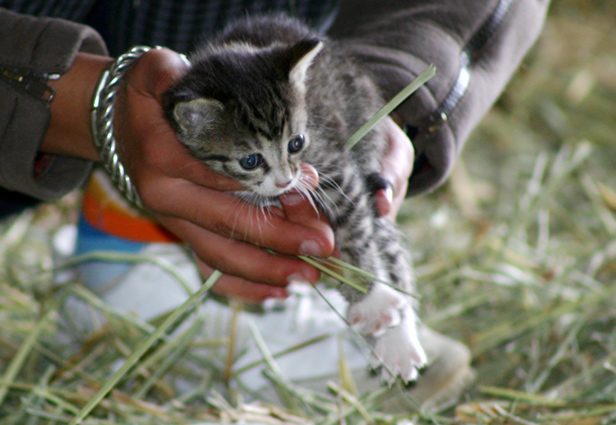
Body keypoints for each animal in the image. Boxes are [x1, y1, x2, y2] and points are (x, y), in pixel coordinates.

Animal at [161, 14, 426, 384]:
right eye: (250, 161)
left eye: (296, 143)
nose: (286, 180)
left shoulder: (335, 164)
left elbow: (356, 230)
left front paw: (368, 298)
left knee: (385, 238)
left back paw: (399, 341)